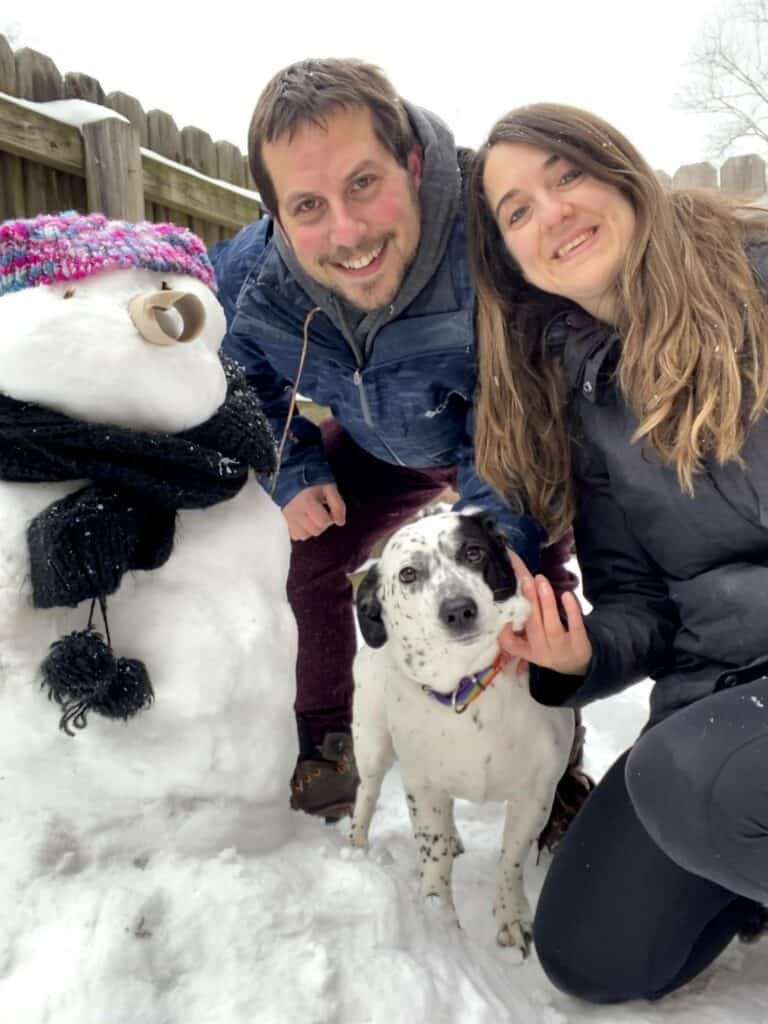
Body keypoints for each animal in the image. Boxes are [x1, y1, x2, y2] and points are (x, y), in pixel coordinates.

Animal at [352, 509, 573, 950]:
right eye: (408, 574)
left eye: (473, 552)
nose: (457, 609)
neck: (467, 685)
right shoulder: (423, 787)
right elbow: (433, 859)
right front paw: (440, 919)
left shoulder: (536, 795)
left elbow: (511, 859)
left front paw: (511, 916)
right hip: (372, 744)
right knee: (365, 795)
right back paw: (353, 849)